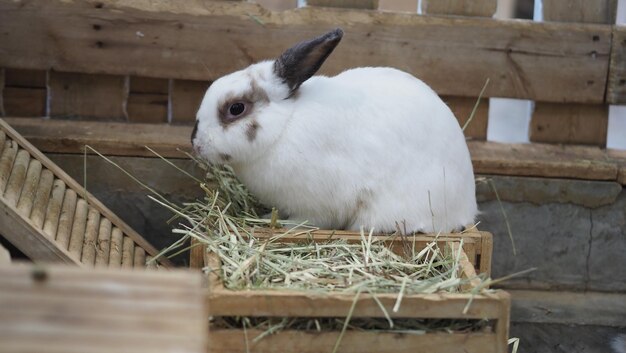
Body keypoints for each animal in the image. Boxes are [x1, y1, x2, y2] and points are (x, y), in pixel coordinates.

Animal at [190, 28, 472, 232]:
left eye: (236, 108)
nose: (196, 143)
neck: (284, 127)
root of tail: (466, 209)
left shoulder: (320, 204)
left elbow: (311, 220)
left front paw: (285, 225)